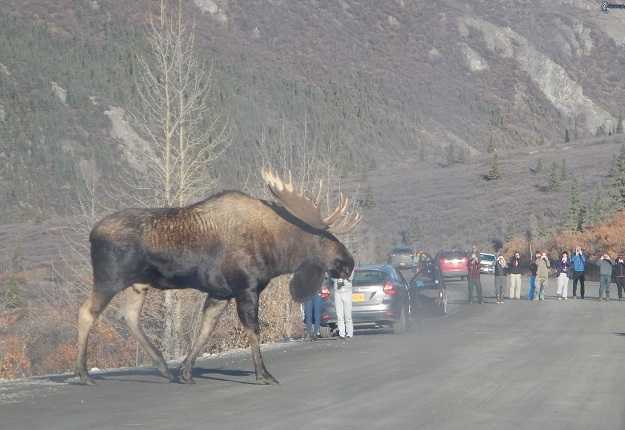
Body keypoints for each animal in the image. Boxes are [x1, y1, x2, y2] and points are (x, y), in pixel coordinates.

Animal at [75, 170, 358, 384]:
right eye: (323, 238)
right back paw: (83, 374)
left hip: (138, 284)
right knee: (87, 311)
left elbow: (205, 330)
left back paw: (164, 368)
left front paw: (185, 372)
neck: (276, 253)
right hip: (109, 279)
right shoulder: (246, 289)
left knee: (130, 316)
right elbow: (253, 330)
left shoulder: (220, 293)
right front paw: (263, 374)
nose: (349, 263)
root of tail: (91, 233)